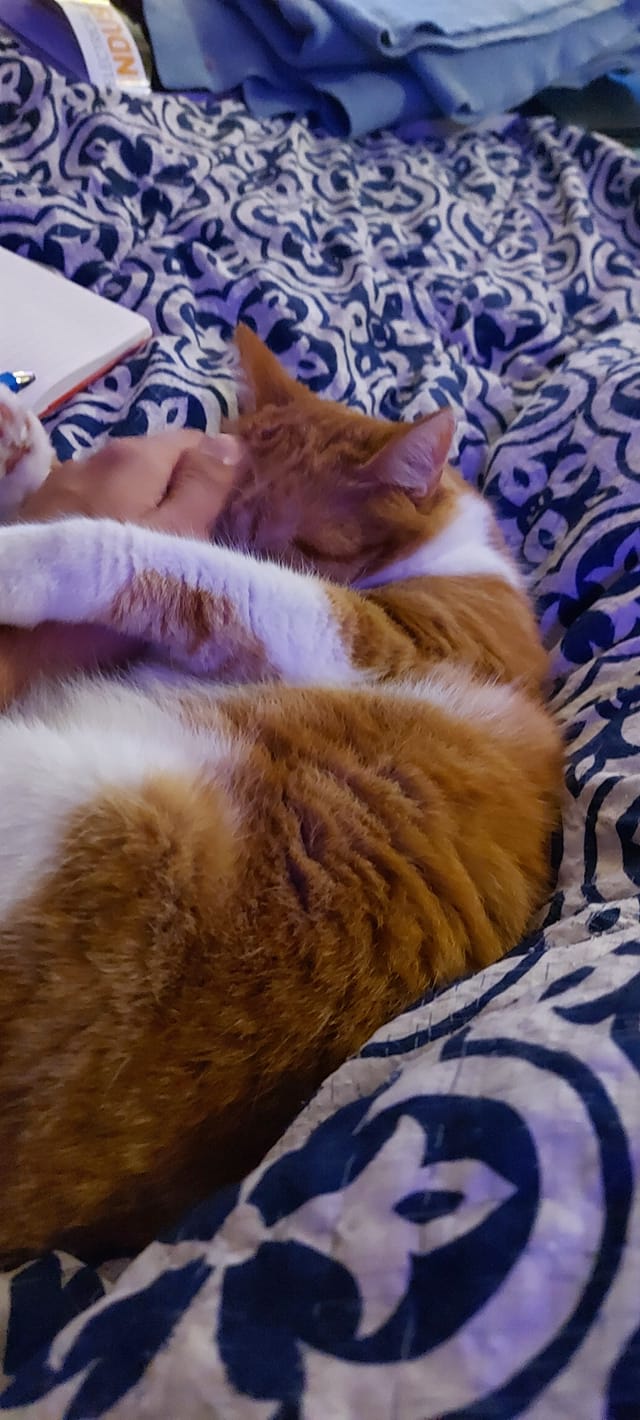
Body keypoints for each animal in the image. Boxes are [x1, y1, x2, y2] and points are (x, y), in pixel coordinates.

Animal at [0, 326, 561, 1260]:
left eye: (286, 541)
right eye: (223, 515)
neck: (450, 550)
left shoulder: (369, 642)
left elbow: (148, 556)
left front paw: (26, 550)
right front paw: (22, 443)